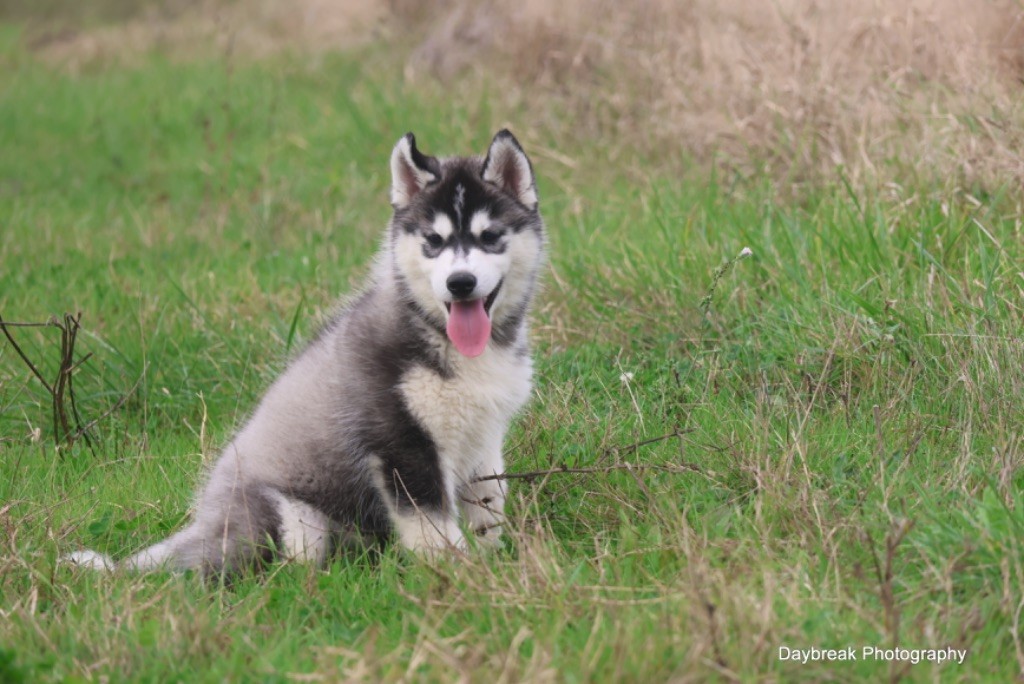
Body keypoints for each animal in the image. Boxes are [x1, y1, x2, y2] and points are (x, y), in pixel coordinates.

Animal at [69, 127, 548, 573]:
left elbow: (488, 504)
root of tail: (202, 524)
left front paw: (494, 563)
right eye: (434, 240)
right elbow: (433, 528)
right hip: (293, 520)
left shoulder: (484, 438)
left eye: (490, 236)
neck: (448, 341)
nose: (460, 283)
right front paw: (456, 575)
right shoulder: (401, 445)